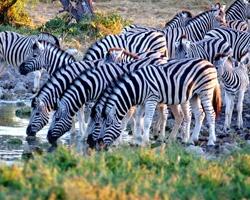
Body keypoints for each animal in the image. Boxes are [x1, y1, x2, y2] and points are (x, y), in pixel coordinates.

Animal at [89, 57, 222, 147]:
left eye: (107, 125)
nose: (95, 144)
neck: (138, 86)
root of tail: (209, 63)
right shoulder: (142, 103)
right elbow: (138, 120)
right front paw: (138, 140)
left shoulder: (151, 99)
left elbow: (147, 121)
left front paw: (145, 141)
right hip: (195, 95)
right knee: (200, 114)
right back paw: (192, 139)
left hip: (205, 91)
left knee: (210, 114)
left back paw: (211, 141)